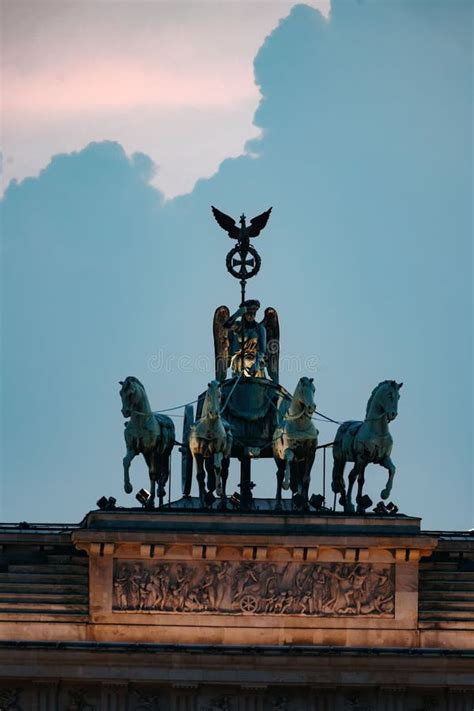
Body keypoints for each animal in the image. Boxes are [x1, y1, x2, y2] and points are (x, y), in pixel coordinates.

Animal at [118, 376, 176, 508]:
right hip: (147, 456)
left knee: (162, 472)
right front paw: (128, 487)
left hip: (163, 454)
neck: (141, 423)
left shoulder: (153, 451)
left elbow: (153, 473)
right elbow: (125, 461)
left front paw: (151, 500)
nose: (125, 412)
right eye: (120, 393)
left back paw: (160, 492)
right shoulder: (133, 449)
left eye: (131, 393)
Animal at [270, 376, 318, 508]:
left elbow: (306, 479)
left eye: (314, 389)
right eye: (302, 390)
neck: (301, 426)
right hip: (278, 458)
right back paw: (278, 503)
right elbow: (289, 458)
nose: (312, 407)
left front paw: (305, 504)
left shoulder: (310, 454)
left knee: (299, 478)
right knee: (280, 474)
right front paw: (286, 484)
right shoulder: (288, 451)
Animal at [330, 382, 404, 516]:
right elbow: (351, 476)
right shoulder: (361, 457)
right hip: (341, 459)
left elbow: (392, 469)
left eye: (399, 396)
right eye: (389, 394)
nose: (393, 414)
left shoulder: (382, 459)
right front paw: (349, 504)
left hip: (363, 462)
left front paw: (385, 493)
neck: (377, 432)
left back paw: (359, 504)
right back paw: (346, 501)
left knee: (359, 480)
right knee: (342, 478)